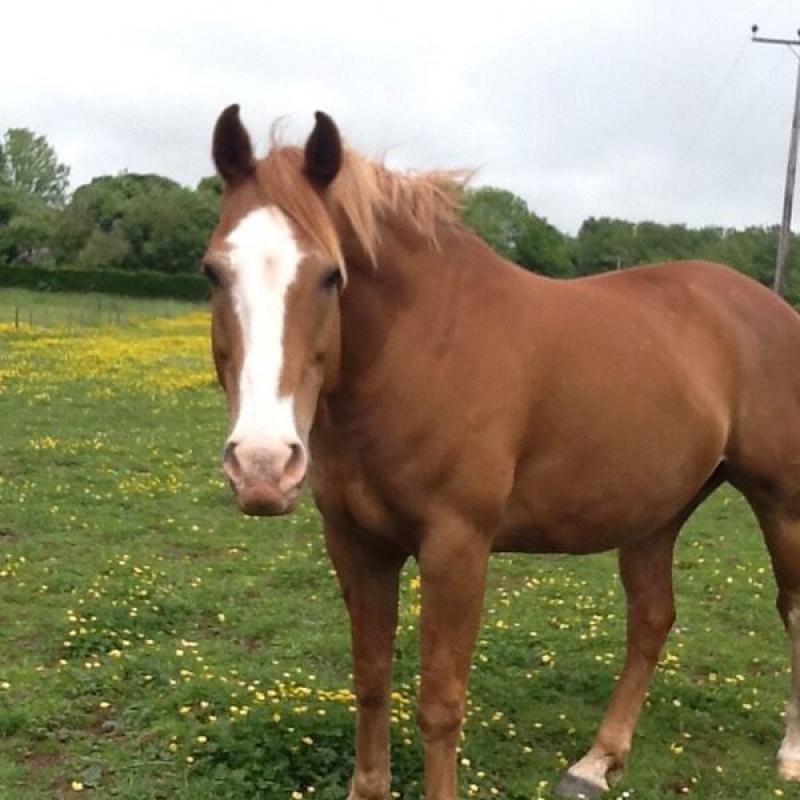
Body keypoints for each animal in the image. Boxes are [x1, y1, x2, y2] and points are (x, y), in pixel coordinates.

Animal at [202, 104, 800, 799]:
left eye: (331, 274)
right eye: (213, 271)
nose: (263, 466)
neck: (426, 347)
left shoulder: (456, 546)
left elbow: (439, 703)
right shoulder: (356, 542)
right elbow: (371, 678)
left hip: (781, 505)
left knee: (791, 610)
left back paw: (788, 752)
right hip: (656, 513)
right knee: (652, 619)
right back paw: (597, 761)